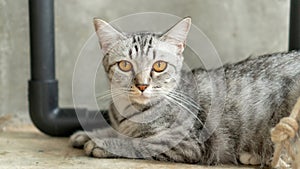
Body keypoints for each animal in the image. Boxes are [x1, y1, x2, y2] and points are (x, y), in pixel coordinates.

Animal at [71, 16, 300, 167]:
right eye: (125, 65)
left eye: (159, 66)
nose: (142, 85)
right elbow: (116, 129)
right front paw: (87, 134)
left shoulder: (186, 143)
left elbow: (137, 143)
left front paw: (102, 143)